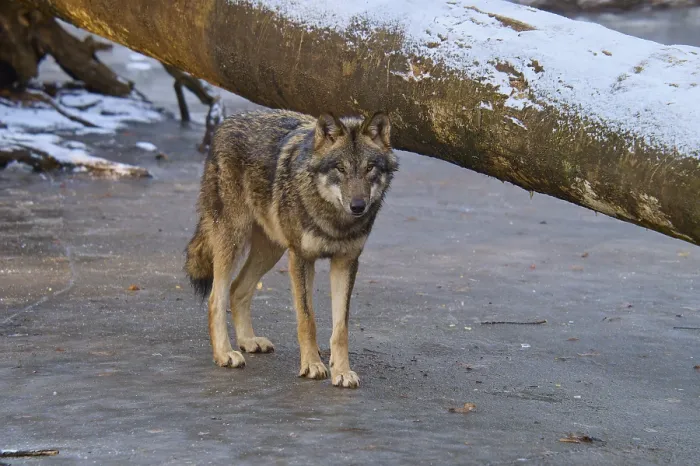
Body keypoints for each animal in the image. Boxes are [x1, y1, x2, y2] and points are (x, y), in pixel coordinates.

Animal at [184, 109, 398, 388]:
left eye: (369, 168)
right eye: (340, 168)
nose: (358, 206)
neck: (335, 221)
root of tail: (227, 121)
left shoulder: (346, 262)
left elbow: (341, 328)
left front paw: (342, 371)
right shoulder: (301, 258)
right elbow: (307, 320)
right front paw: (312, 365)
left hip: (270, 251)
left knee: (237, 289)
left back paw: (248, 341)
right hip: (233, 240)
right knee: (215, 298)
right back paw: (224, 354)